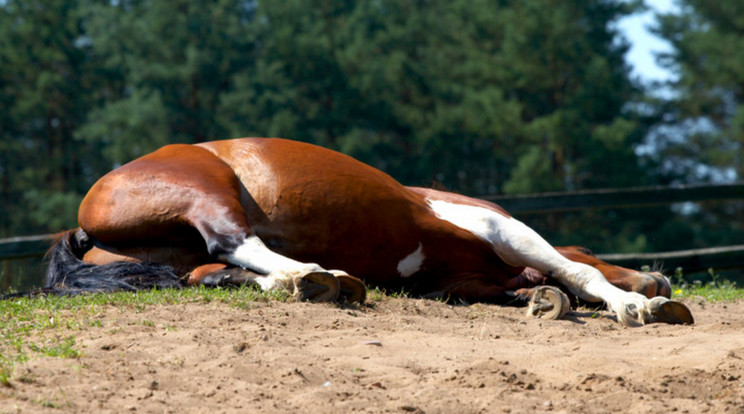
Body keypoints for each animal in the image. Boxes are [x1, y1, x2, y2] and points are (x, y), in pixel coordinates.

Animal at [42, 137, 692, 326]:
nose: (660, 279)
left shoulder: (459, 279)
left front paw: (539, 299)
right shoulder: (499, 227)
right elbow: (577, 267)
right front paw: (635, 303)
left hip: (181, 260)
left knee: (221, 272)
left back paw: (313, 283)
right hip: (204, 187)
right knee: (234, 241)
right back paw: (316, 274)